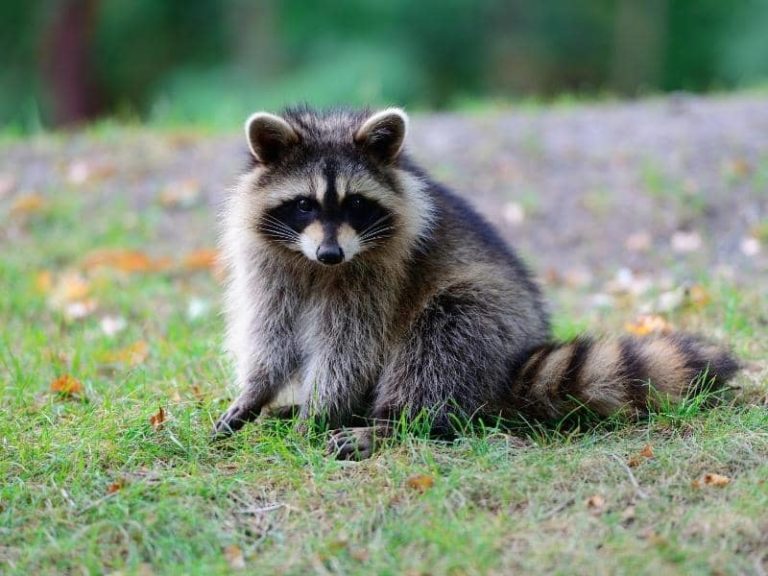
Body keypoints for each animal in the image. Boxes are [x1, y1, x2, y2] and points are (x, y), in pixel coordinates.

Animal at [213, 105, 739, 459]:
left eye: (356, 204)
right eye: (304, 204)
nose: (330, 253)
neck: (316, 267)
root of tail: (517, 359)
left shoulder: (379, 274)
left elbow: (350, 349)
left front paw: (320, 412)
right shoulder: (270, 265)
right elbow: (272, 334)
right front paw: (257, 392)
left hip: (487, 317)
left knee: (441, 342)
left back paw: (391, 423)